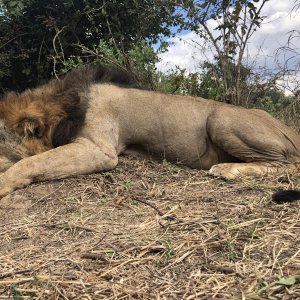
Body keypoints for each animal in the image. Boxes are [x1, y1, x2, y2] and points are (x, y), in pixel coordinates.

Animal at [0, 64, 298, 199]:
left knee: (287, 165)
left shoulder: (99, 149)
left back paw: (228, 170)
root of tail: (291, 131)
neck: (67, 107)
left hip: (220, 119)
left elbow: (30, 162)